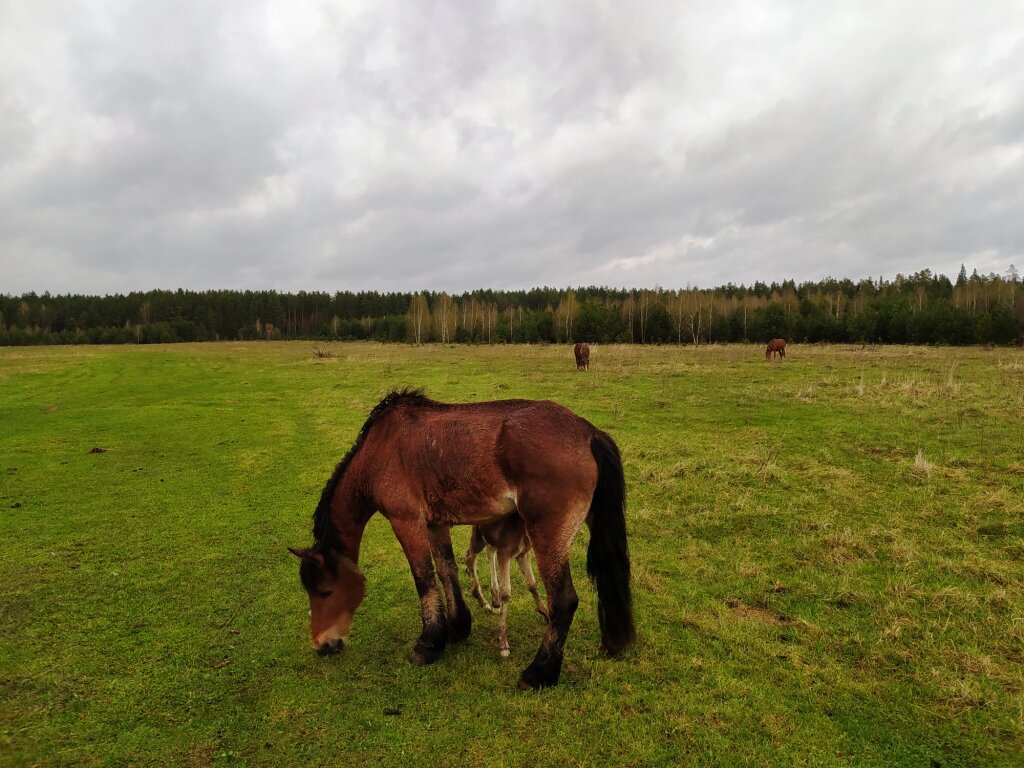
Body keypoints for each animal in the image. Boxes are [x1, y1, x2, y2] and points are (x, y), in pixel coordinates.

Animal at [466, 514, 548, 659]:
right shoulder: (505, 552)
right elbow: (506, 593)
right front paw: (503, 644)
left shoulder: (523, 554)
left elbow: (532, 583)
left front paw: (545, 613)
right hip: (478, 534)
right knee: (469, 557)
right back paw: (481, 599)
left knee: (490, 551)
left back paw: (494, 601)